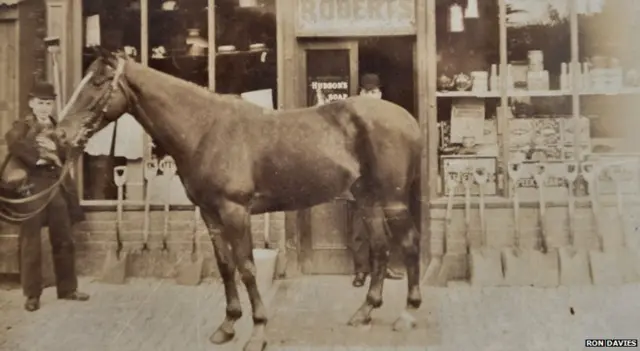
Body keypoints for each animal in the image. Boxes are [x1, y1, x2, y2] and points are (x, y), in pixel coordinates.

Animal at [56, 48, 424, 351]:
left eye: (98, 82)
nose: (60, 133)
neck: (205, 129)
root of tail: (408, 120)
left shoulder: (235, 212)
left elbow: (247, 267)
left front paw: (258, 331)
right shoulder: (210, 214)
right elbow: (225, 266)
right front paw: (228, 325)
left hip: (393, 202)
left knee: (408, 245)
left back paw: (408, 314)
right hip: (368, 200)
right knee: (381, 248)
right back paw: (365, 311)